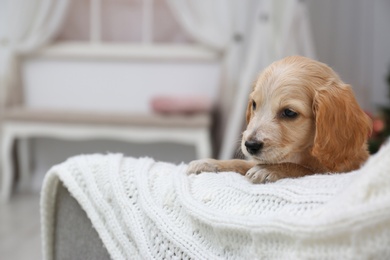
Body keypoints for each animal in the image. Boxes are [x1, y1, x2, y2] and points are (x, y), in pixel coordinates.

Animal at [187, 55, 374, 184]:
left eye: (289, 113)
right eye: (254, 104)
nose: (250, 145)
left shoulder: (335, 169)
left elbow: (304, 169)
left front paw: (270, 170)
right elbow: (240, 162)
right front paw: (209, 163)